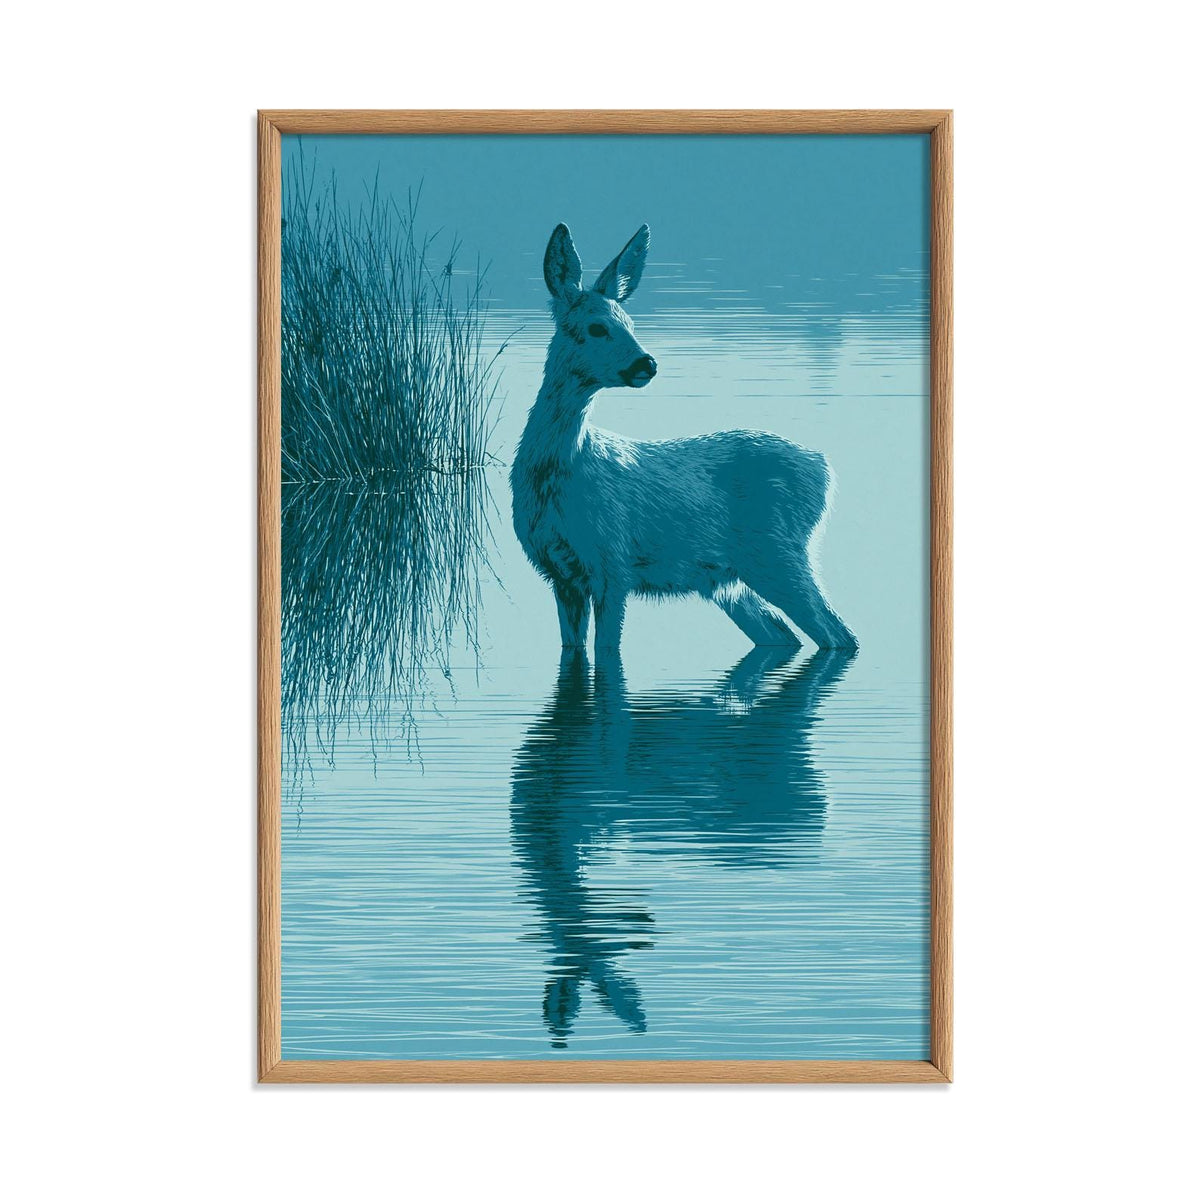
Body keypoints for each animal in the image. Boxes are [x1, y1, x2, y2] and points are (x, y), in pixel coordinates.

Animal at [511, 223, 858, 655]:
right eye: (597, 327)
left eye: (631, 324)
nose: (646, 363)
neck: (561, 470)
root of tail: (824, 468)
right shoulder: (561, 574)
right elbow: (574, 650)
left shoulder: (613, 563)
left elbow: (608, 649)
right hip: (731, 578)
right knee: (784, 634)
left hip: (777, 551)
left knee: (837, 633)